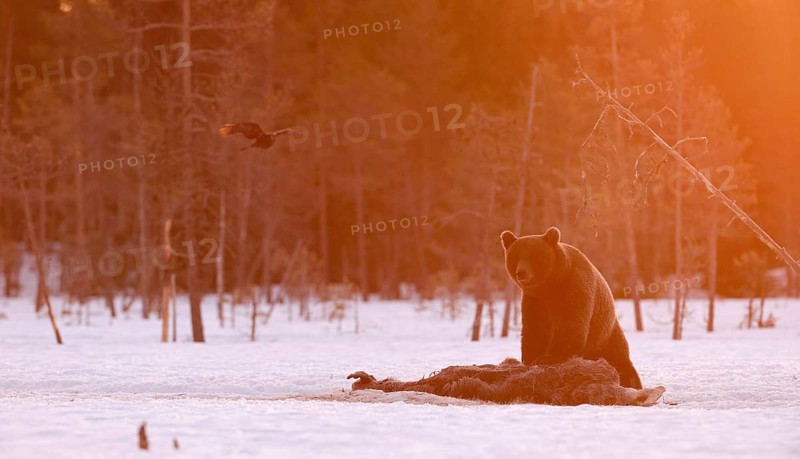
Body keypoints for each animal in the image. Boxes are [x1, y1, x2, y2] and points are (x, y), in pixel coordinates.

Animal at [500, 226, 642, 389]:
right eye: (515, 256)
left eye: (534, 255)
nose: (521, 273)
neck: (549, 286)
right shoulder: (535, 300)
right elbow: (535, 327)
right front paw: (532, 357)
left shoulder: (574, 286)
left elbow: (570, 325)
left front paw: (548, 357)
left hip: (606, 337)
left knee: (620, 361)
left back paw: (631, 382)